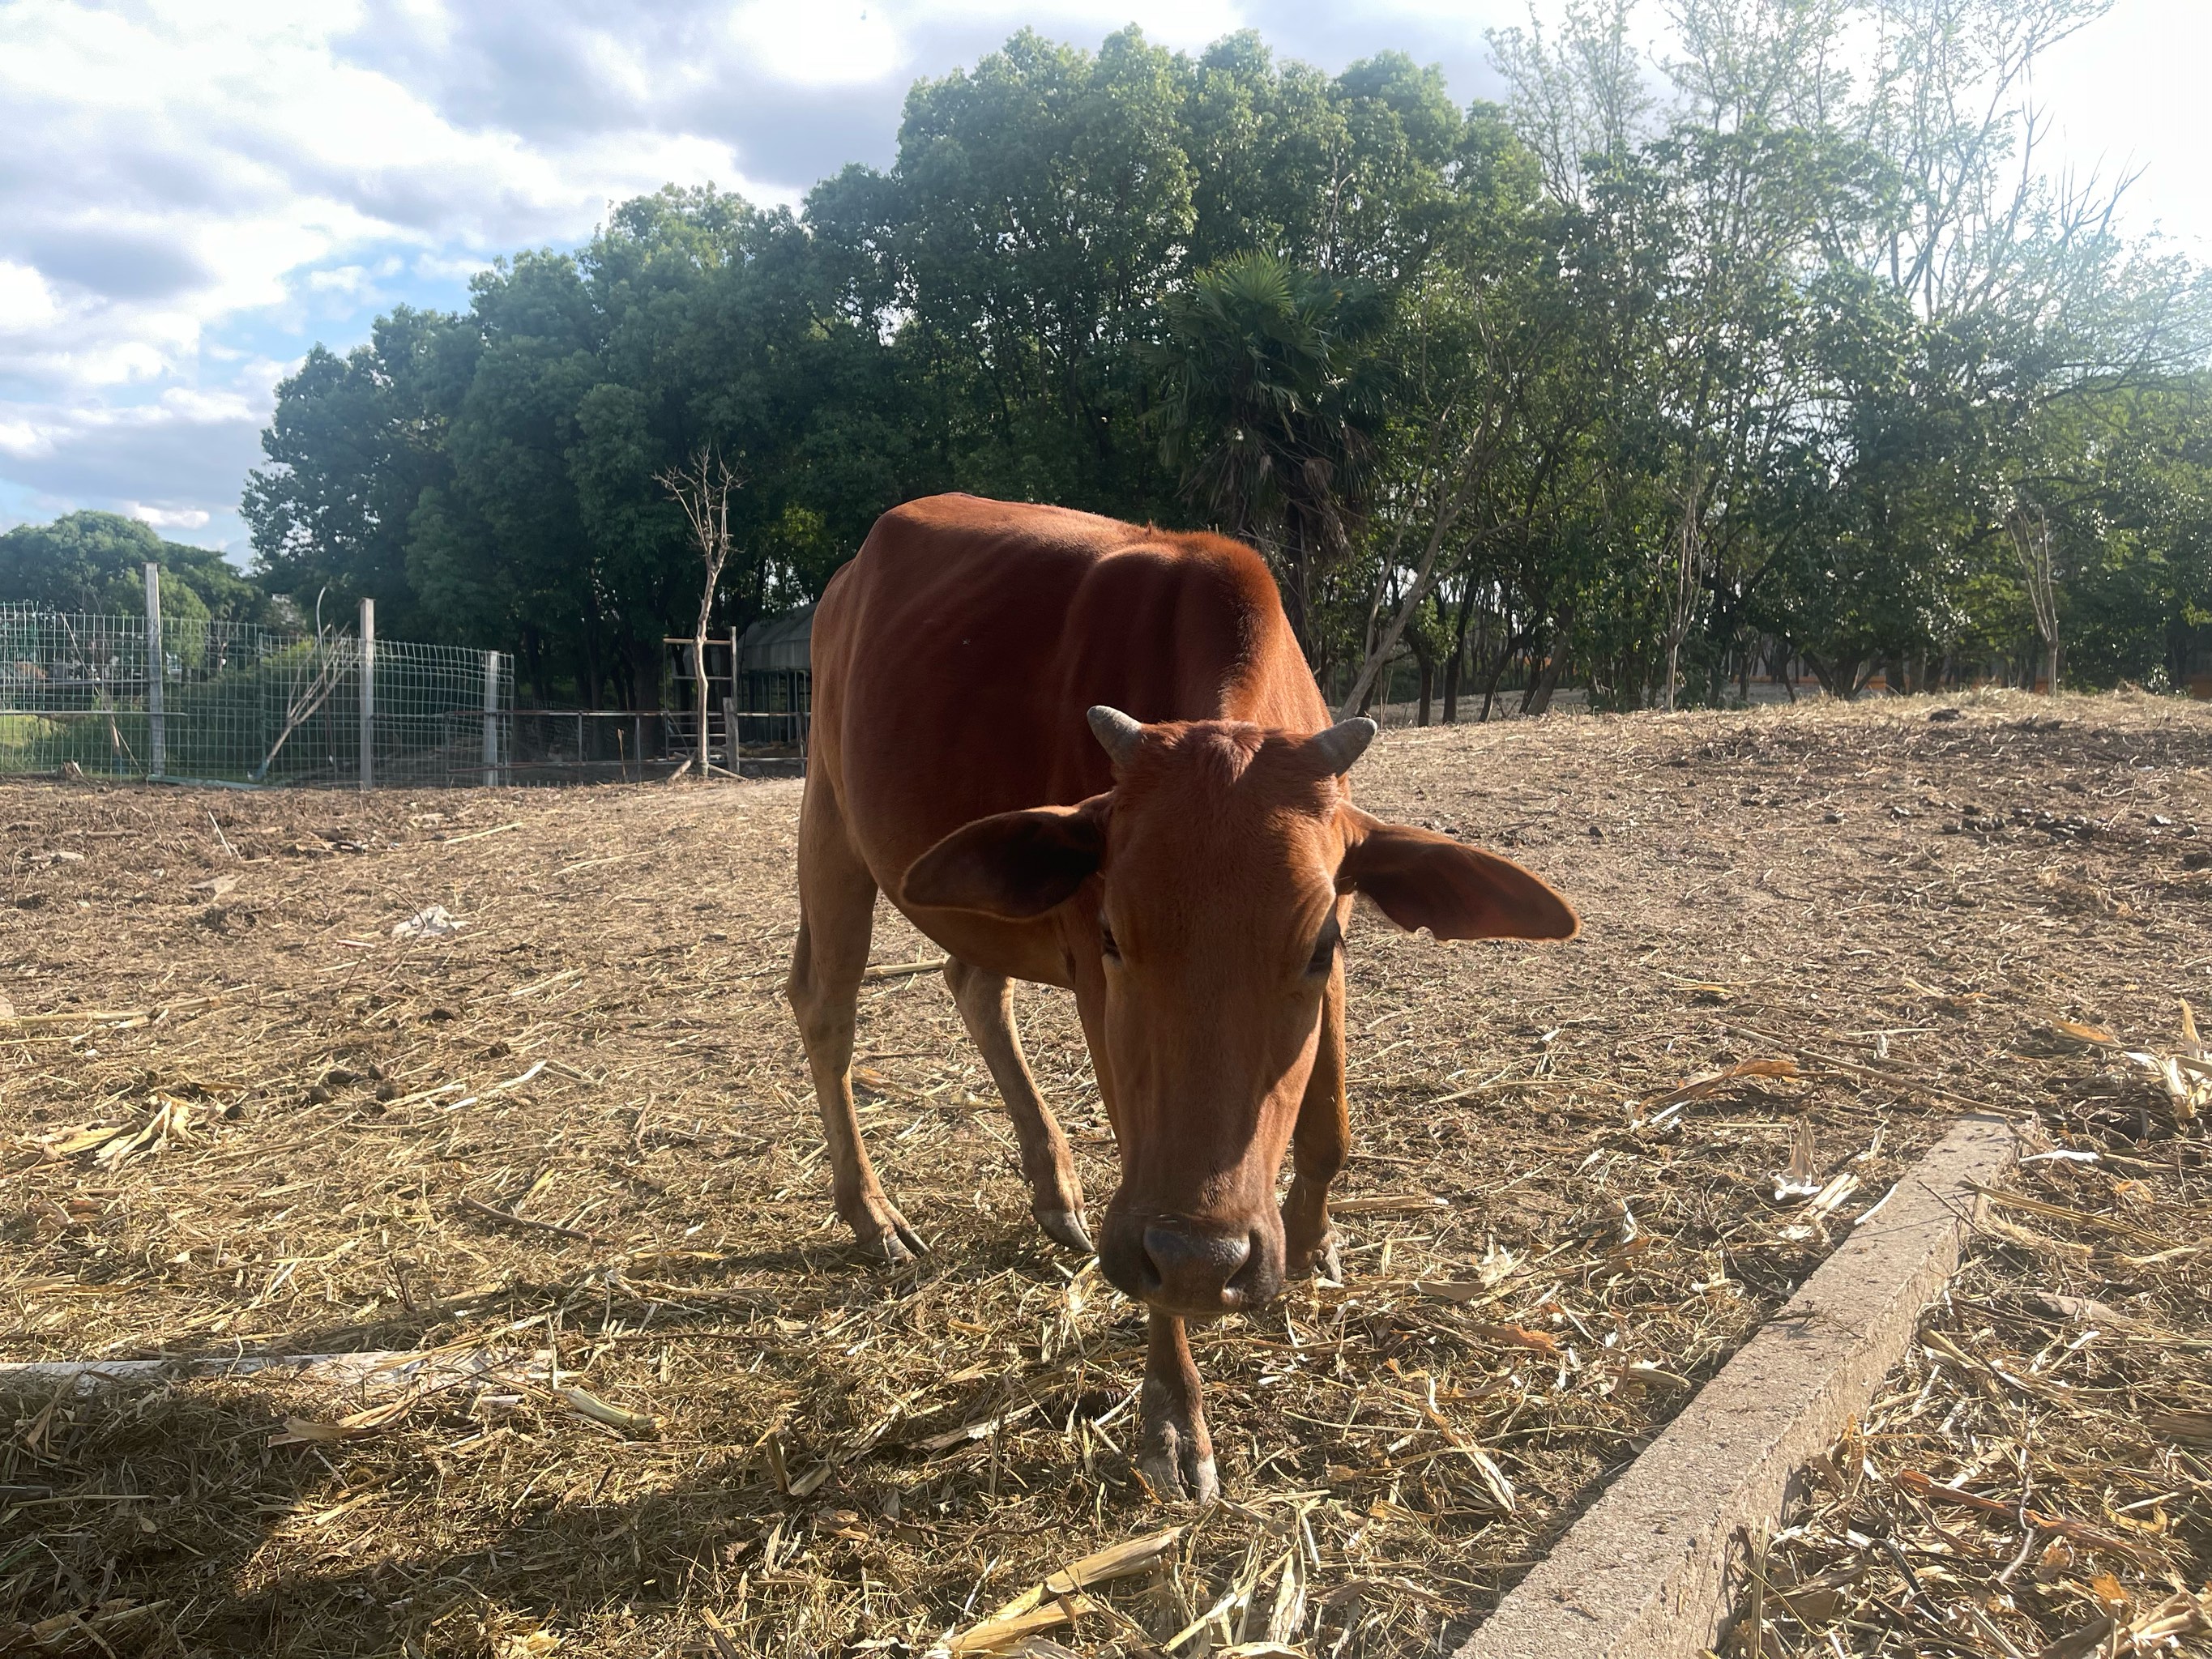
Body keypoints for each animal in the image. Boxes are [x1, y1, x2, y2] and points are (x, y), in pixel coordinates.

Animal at [792, 497, 1574, 1503]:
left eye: (1317, 945)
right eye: (1116, 935)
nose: (1206, 1261)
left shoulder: (1343, 927)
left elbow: (1329, 1128)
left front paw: (1313, 1241)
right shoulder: (1096, 987)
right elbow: (1144, 1164)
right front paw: (1173, 1413)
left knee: (974, 985)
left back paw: (1054, 1192)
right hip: (829, 816)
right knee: (826, 1008)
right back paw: (874, 1213)